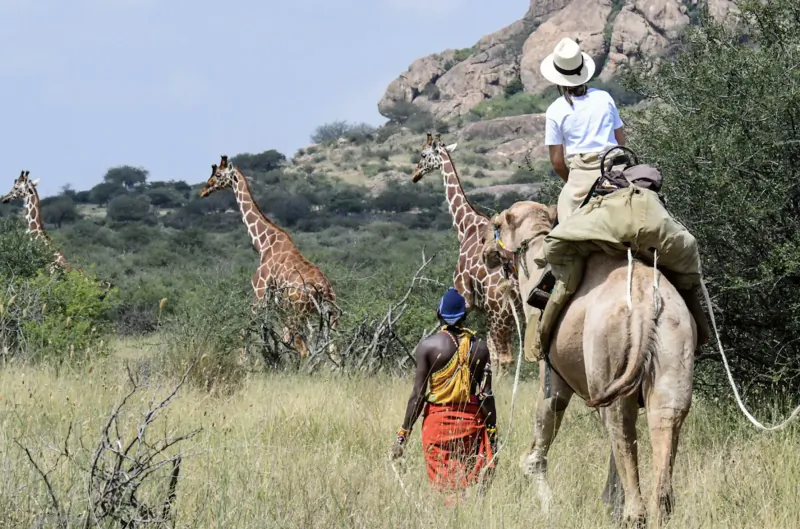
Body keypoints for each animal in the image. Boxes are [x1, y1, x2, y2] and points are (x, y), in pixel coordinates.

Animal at [200, 155, 338, 358]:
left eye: (218, 174)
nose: (203, 190)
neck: (263, 244)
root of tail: (324, 289)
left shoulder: (259, 294)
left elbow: (247, 330)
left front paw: (245, 360)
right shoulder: (277, 305)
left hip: (299, 313)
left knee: (304, 348)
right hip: (330, 315)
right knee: (332, 347)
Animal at [412, 133, 521, 374]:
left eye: (423, 154)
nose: (415, 174)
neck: (465, 226)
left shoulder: (466, 297)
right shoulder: (482, 309)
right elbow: (487, 352)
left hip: (500, 312)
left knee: (507, 357)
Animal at [481, 200, 695, 527]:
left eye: (496, 224)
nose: (485, 250)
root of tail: (645, 307)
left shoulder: (552, 375)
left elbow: (537, 446)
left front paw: (550, 508)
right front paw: (609, 503)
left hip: (608, 356)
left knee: (621, 426)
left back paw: (632, 514)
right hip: (673, 347)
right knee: (663, 424)